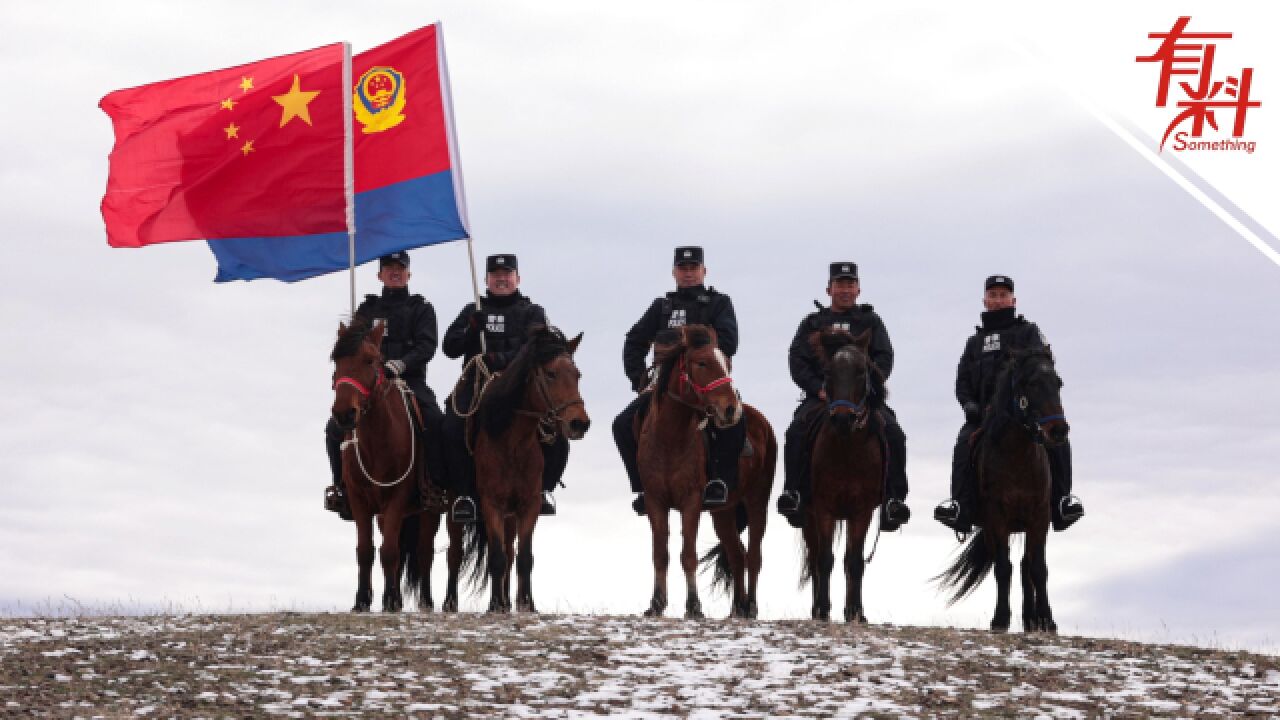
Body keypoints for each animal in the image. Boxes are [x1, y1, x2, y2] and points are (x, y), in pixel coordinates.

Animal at [330, 315, 465, 609]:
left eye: (370, 360)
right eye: (335, 360)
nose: (344, 414)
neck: (376, 443)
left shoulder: (396, 497)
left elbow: (390, 551)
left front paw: (391, 600)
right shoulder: (359, 500)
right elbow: (366, 551)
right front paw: (362, 601)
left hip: (441, 509)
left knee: (440, 552)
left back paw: (437, 602)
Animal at [460, 325, 588, 609]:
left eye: (577, 375)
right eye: (550, 374)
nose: (580, 424)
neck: (512, 445)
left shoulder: (529, 505)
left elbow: (524, 557)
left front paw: (527, 605)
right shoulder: (491, 505)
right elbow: (497, 557)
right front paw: (496, 605)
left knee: (511, 551)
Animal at [634, 325, 773, 617]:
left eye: (727, 363)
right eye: (702, 363)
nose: (730, 409)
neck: (669, 438)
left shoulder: (691, 502)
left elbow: (688, 554)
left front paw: (694, 606)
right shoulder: (655, 501)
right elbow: (660, 553)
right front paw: (656, 603)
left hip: (757, 501)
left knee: (754, 555)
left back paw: (751, 607)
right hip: (723, 512)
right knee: (737, 554)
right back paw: (736, 609)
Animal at [798, 327, 890, 620]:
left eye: (862, 371)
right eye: (828, 372)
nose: (842, 418)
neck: (848, 451)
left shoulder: (861, 512)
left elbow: (854, 561)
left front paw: (855, 612)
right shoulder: (823, 509)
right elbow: (824, 559)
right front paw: (823, 610)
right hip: (808, 517)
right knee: (814, 557)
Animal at [936, 345, 1064, 630]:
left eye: (1058, 383)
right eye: (1031, 383)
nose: (1059, 430)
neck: (1017, 458)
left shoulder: (1040, 517)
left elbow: (1038, 568)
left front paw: (1047, 620)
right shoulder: (997, 518)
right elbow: (1003, 567)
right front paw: (1000, 619)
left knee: (1027, 566)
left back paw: (1031, 619)